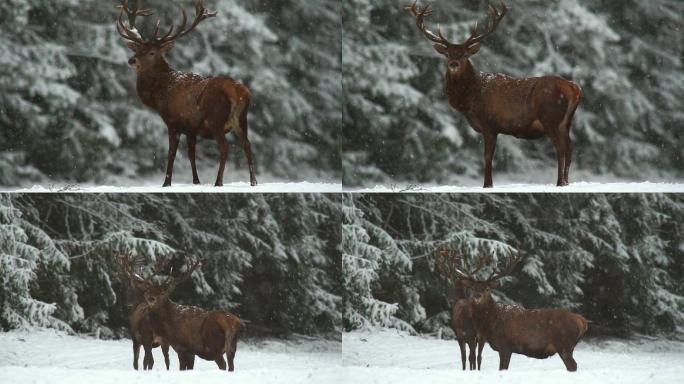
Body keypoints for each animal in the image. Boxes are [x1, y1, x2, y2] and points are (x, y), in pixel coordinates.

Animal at [117, 0, 256, 188]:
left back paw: (218, 182)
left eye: (152, 52)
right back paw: (253, 181)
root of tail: (238, 91)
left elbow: (171, 154)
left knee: (225, 147)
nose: (132, 60)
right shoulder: (191, 128)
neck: (158, 98)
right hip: (241, 119)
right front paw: (196, 181)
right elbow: (191, 154)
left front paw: (166, 183)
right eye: (136, 49)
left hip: (215, 118)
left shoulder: (173, 122)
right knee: (247, 145)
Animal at [408, 1, 580, 188]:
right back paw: (566, 182)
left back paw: (559, 183)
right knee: (570, 148)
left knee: (561, 149)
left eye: (464, 54)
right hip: (565, 122)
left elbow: (487, 156)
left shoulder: (489, 123)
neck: (469, 100)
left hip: (550, 118)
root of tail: (574, 88)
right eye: (447, 54)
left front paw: (487, 185)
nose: (454, 63)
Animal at [448, 250, 588, 370]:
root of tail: (582, 321)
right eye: (472, 288)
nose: (477, 296)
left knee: (573, 365)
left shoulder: (505, 347)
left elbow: (502, 368)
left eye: (487, 289)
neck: (489, 322)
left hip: (564, 344)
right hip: (568, 346)